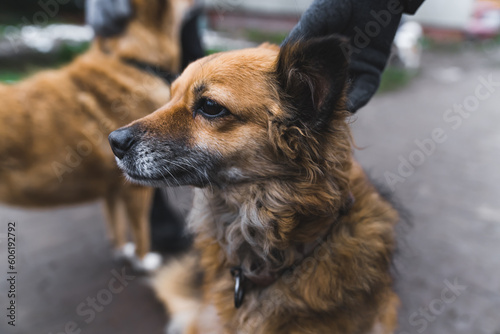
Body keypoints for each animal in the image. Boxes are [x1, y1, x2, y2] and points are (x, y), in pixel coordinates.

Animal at [0, 0, 190, 272]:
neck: (130, 60)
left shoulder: (111, 188)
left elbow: (116, 227)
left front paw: (122, 251)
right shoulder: (136, 188)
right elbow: (141, 231)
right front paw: (144, 261)